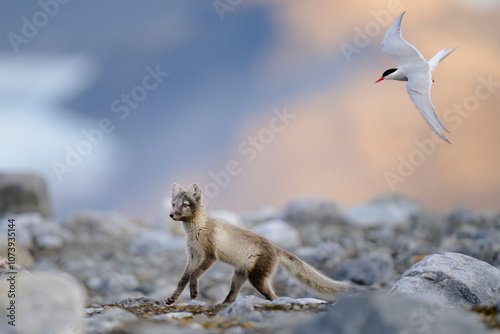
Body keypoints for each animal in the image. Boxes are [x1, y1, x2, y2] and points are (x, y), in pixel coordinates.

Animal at [166, 184, 350, 304]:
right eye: (173, 204)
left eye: (185, 205)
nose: (171, 215)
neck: (198, 229)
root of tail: (275, 248)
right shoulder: (193, 256)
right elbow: (183, 279)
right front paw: (172, 298)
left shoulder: (210, 255)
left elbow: (194, 275)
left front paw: (194, 292)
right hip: (239, 276)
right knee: (232, 296)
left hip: (257, 279)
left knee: (273, 297)